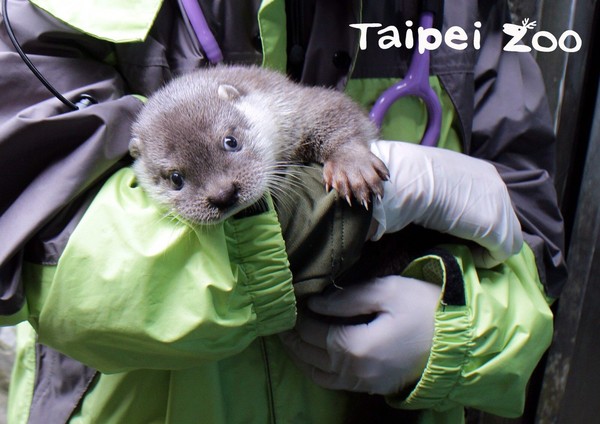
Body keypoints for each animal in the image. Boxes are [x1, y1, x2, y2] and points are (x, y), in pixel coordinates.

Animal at [131, 64, 390, 224]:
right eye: (175, 178)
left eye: (231, 141)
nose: (223, 194)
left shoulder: (294, 104)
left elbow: (336, 109)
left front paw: (351, 166)